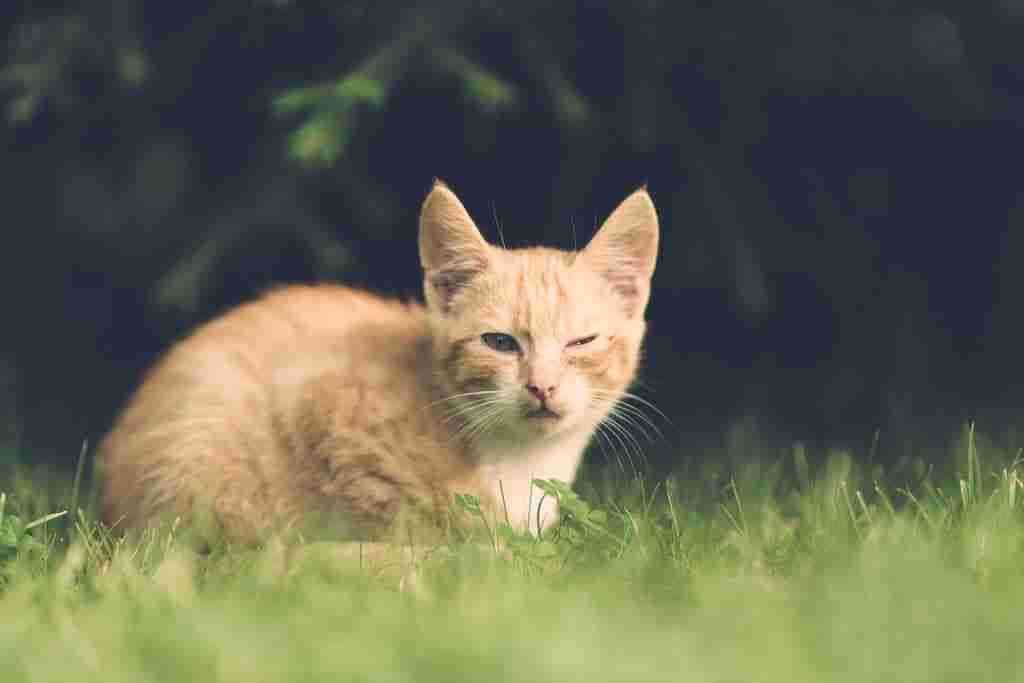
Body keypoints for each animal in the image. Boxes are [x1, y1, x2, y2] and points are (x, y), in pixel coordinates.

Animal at [99, 181, 659, 544]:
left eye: (581, 342)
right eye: (500, 342)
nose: (542, 386)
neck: (520, 459)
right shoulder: (323, 406)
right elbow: (390, 510)